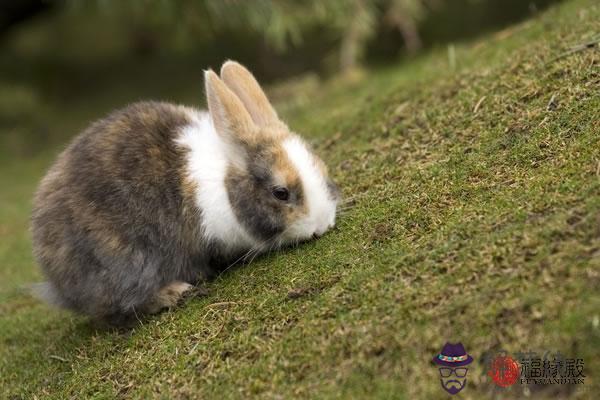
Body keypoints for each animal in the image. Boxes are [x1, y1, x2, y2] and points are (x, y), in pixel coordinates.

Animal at [31, 59, 338, 324]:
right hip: (125, 263)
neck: (226, 183)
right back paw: (174, 293)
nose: (322, 225)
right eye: (280, 193)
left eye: (322, 168)